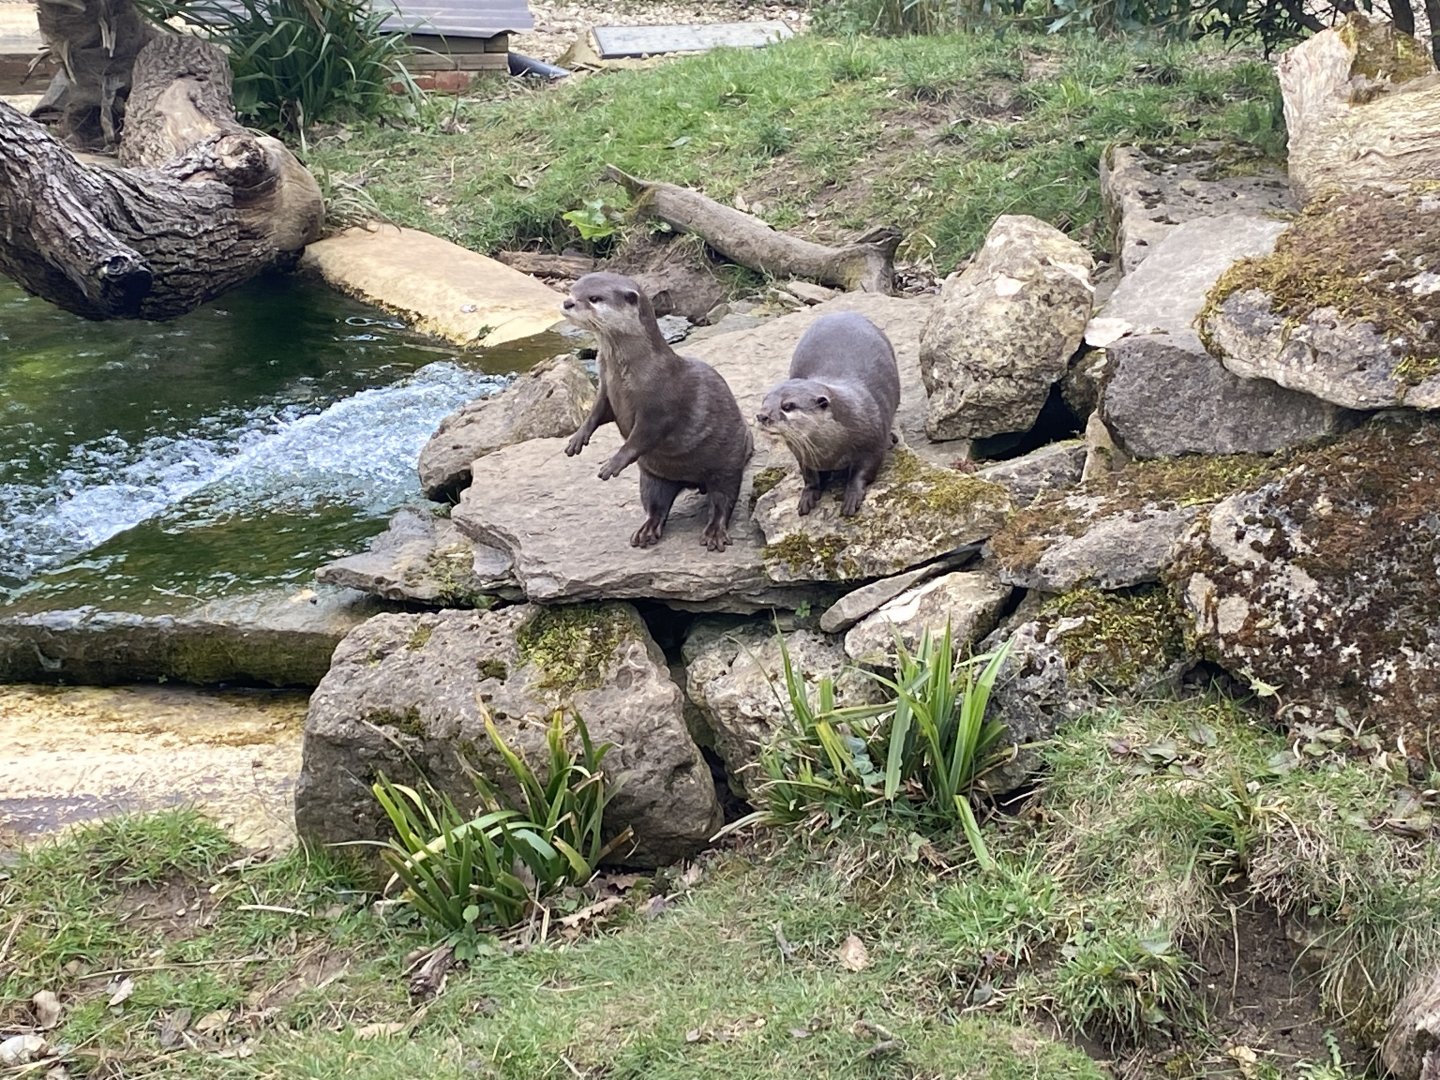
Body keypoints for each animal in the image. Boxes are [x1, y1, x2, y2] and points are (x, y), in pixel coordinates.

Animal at [562, 272, 753, 552]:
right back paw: (646, 531)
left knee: (723, 499)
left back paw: (714, 533)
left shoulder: (660, 404)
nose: (567, 303)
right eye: (571, 290)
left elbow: (642, 436)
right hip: (653, 477)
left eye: (594, 298)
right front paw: (577, 439)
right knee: (656, 504)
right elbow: (596, 414)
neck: (629, 372)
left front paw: (613, 463)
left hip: (727, 464)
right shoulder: (606, 390)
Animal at [755, 312, 901, 517]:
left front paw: (852, 495)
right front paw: (808, 495)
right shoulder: (801, 454)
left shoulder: (872, 444)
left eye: (788, 406)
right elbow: (809, 476)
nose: (762, 416)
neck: (830, 452)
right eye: (764, 401)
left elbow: (864, 470)